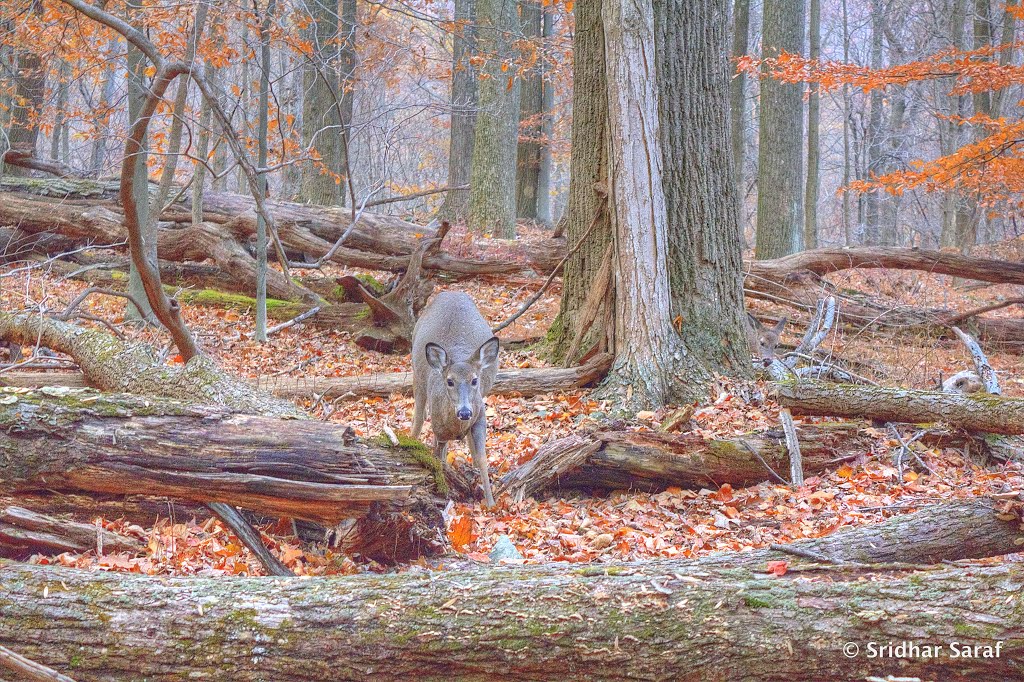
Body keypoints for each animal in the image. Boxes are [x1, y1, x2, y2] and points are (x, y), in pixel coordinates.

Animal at [411, 288, 499, 507]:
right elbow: (438, 460)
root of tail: (451, 291)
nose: (465, 412)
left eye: (475, 380)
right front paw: (443, 492)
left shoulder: (480, 416)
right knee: (418, 417)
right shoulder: (439, 428)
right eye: (449, 381)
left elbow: (482, 458)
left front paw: (491, 502)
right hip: (417, 375)